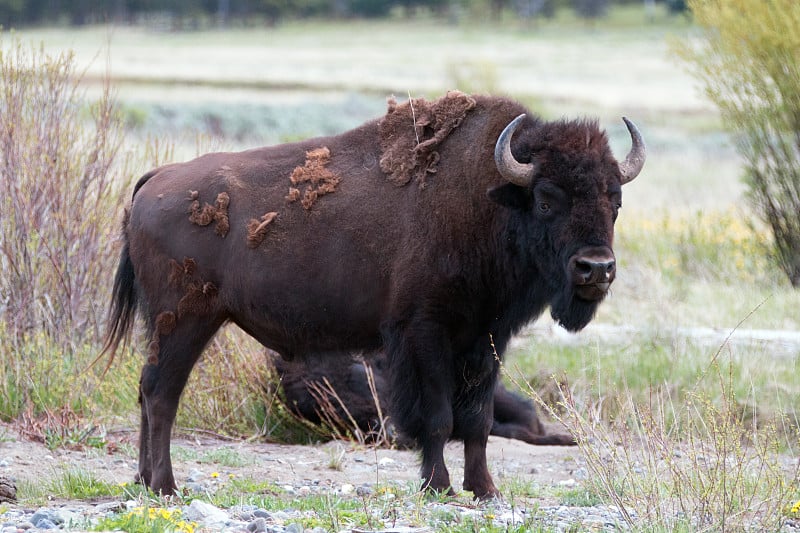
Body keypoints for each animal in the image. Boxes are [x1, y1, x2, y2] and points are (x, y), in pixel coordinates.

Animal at [104, 91, 644, 498]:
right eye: (547, 199)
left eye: (615, 200)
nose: (596, 268)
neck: (491, 199)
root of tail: (155, 179)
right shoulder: (424, 332)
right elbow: (438, 416)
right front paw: (439, 487)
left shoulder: (485, 339)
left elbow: (477, 419)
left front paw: (485, 489)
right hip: (185, 320)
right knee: (162, 393)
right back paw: (166, 486)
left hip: (165, 326)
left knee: (146, 389)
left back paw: (143, 481)